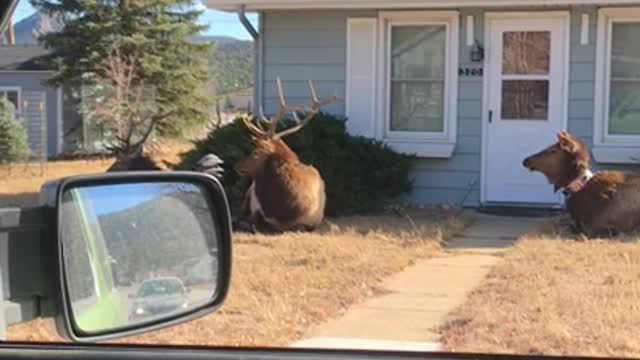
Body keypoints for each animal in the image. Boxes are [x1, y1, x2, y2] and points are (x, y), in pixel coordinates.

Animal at [231, 77, 338, 232]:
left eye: (255, 152)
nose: (236, 165)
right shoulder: (257, 209)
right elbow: (255, 219)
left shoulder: (312, 221)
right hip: (248, 194)